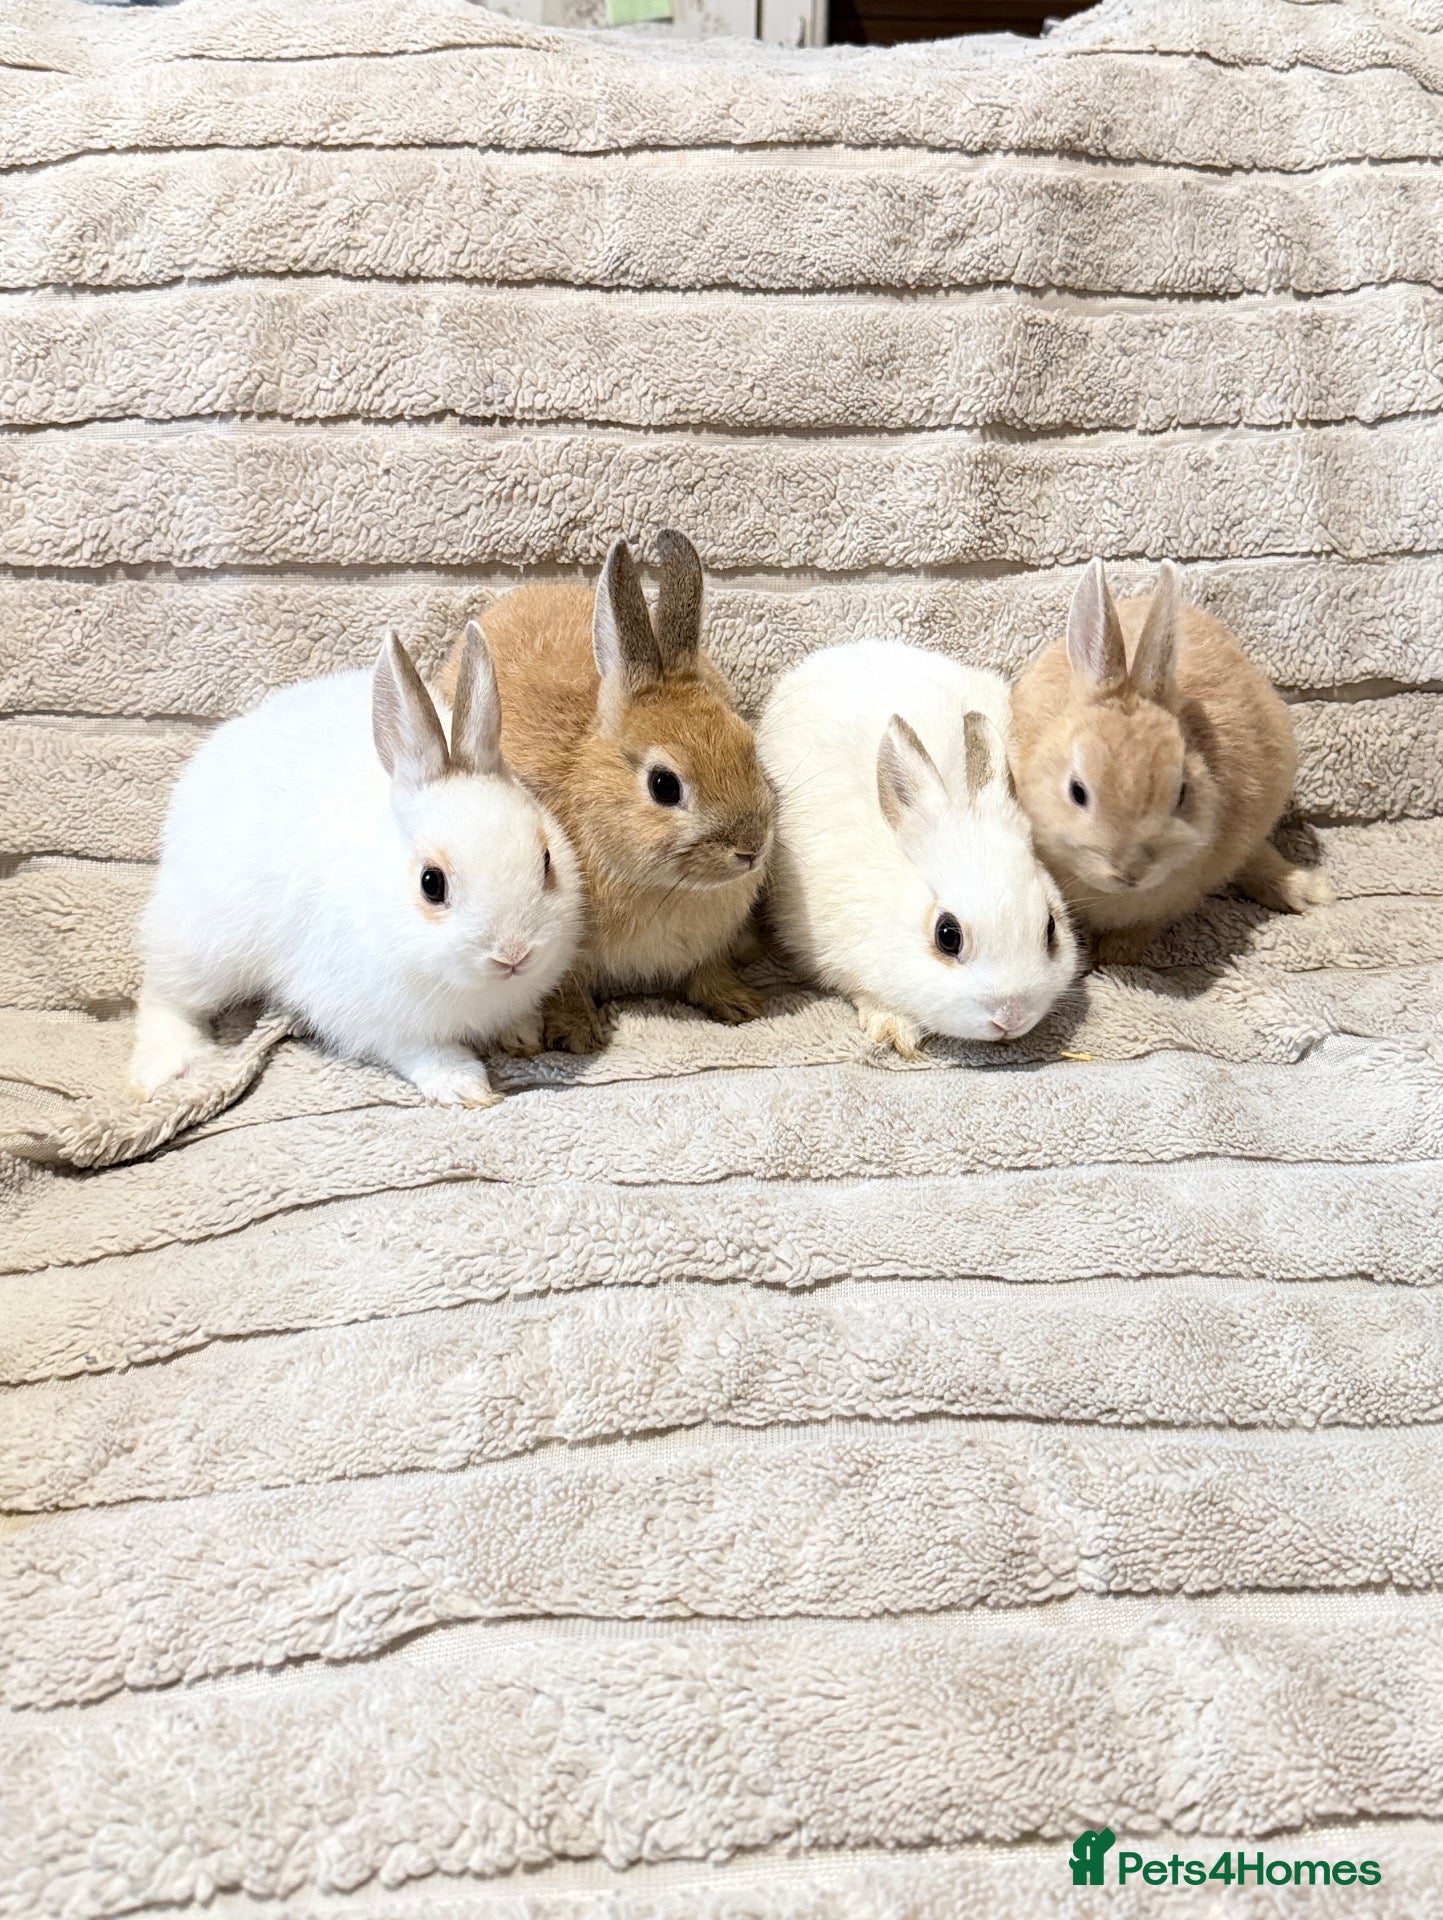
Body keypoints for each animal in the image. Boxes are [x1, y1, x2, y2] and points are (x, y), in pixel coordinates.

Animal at [128, 625, 583, 1108]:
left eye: (547, 860)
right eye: (431, 883)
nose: (514, 955)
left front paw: (523, 1035)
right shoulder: (371, 1017)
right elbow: (422, 1051)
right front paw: (464, 1087)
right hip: (206, 942)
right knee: (165, 995)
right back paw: (166, 1069)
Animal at [435, 530, 774, 1054]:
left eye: (749, 749)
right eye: (664, 785)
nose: (751, 849)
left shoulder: (708, 946)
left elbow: (708, 971)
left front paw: (739, 1004)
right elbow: (565, 987)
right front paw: (577, 1034)